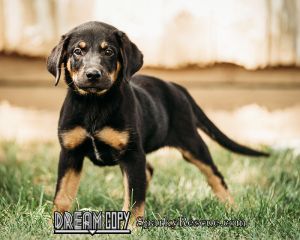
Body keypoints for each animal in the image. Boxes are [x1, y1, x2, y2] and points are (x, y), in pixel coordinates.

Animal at [48, 21, 268, 219]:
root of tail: (175, 86)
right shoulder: (70, 152)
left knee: (214, 175)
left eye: (109, 51)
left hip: (191, 142)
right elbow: (62, 194)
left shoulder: (132, 153)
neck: (94, 104)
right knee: (147, 173)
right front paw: (55, 224)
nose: (93, 74)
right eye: (77, 51)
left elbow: (135, 199)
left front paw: (131, 226)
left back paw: (232, 208)